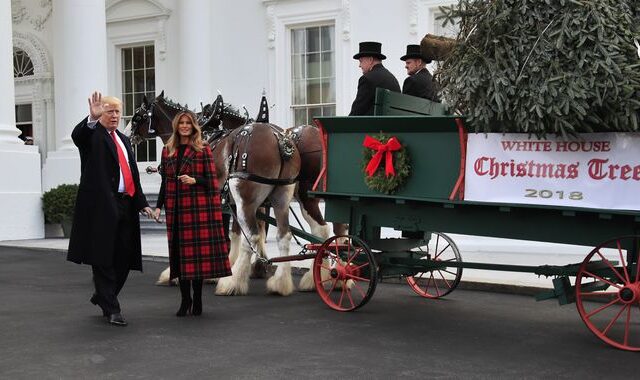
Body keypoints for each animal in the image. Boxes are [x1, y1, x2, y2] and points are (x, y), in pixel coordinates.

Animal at [130, 93, 302, 296]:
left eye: (137, 116)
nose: (128, 134)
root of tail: (279, 139)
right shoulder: (226, 203)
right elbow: (230, 234)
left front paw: (178, 274)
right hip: (280, 197)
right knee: (283, 235)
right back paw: (279, 282)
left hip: (246, 200)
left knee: (252, 236)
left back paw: (234, 282)